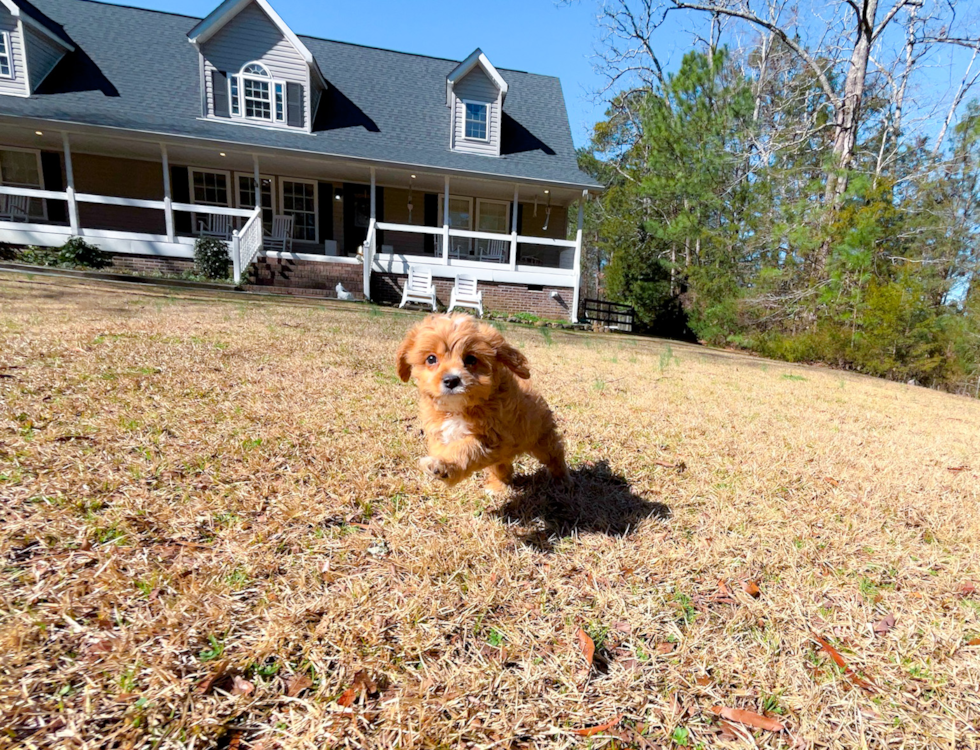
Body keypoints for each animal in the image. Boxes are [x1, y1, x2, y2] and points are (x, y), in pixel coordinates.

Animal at [396, 312, 568, 494]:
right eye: (431, 359)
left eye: (471, 359)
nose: (451, 380)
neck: (458, 409)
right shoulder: (440, 432)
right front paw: (443, 464)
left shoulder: (492, 438)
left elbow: (465, 449)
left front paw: (443, 464)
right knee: (502, 466)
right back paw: (497, 485)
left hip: (541, 437)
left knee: (554, 454)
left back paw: (562, 479)